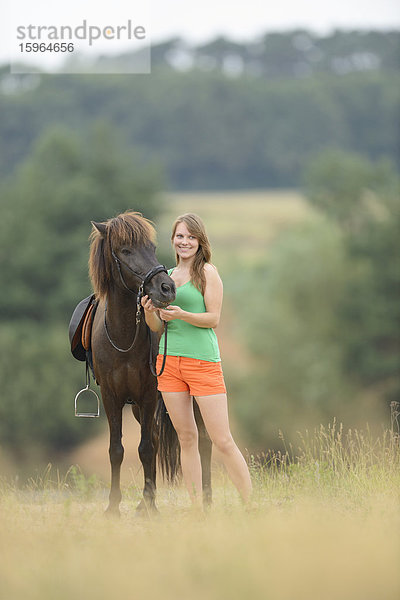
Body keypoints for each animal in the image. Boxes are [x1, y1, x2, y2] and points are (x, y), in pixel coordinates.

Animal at [88, 211, 212, 516]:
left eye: (152, 247)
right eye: (125, 250)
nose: (166, 288)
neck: (124, 338)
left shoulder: (147, 395)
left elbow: (145, 449)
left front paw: (151, 506)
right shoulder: (112, 398)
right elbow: (117, 450)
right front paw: (114, 506)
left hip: (193, 399)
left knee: (204, 440)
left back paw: (206, 499)